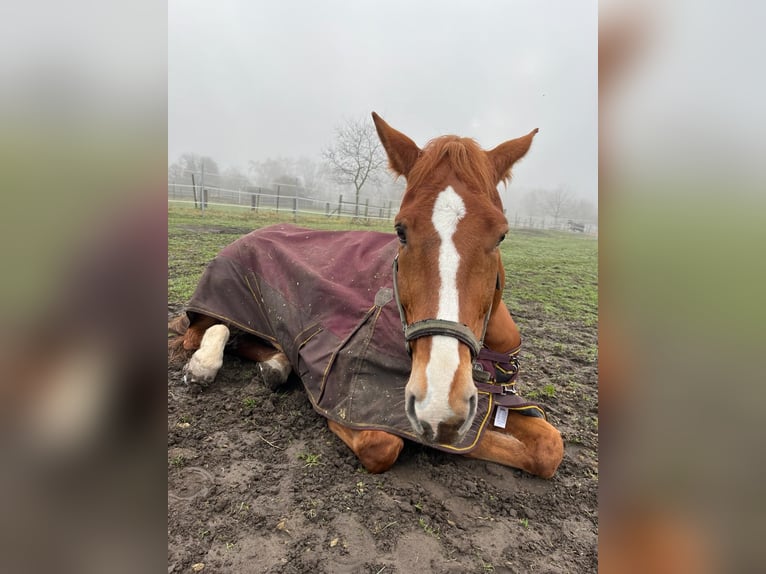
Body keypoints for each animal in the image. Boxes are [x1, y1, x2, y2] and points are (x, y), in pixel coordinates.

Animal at [170, 111, 564, 476]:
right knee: (202, 330)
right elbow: (384, 442)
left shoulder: (494, 402)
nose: (440, 404)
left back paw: (277, 364)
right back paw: (203, 366)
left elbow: (549, 446)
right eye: (400, 230)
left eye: (501, 235)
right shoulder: (353, 395)